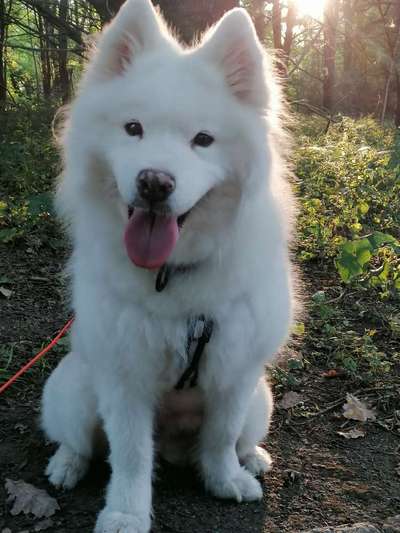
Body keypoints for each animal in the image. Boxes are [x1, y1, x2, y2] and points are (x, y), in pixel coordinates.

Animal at [41, 1, 294, 532]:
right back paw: (66, 466)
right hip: (74, 389)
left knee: (237, 438)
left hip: (261, 402)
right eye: (132, 128)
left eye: (203, 139)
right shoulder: (124, 377)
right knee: (78, 440)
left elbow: (220, 437)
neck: (172, 275)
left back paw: (251, 458)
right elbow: (132, 456)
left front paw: (225, 479)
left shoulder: (235, 371)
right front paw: (125, 514)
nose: (154, 182)